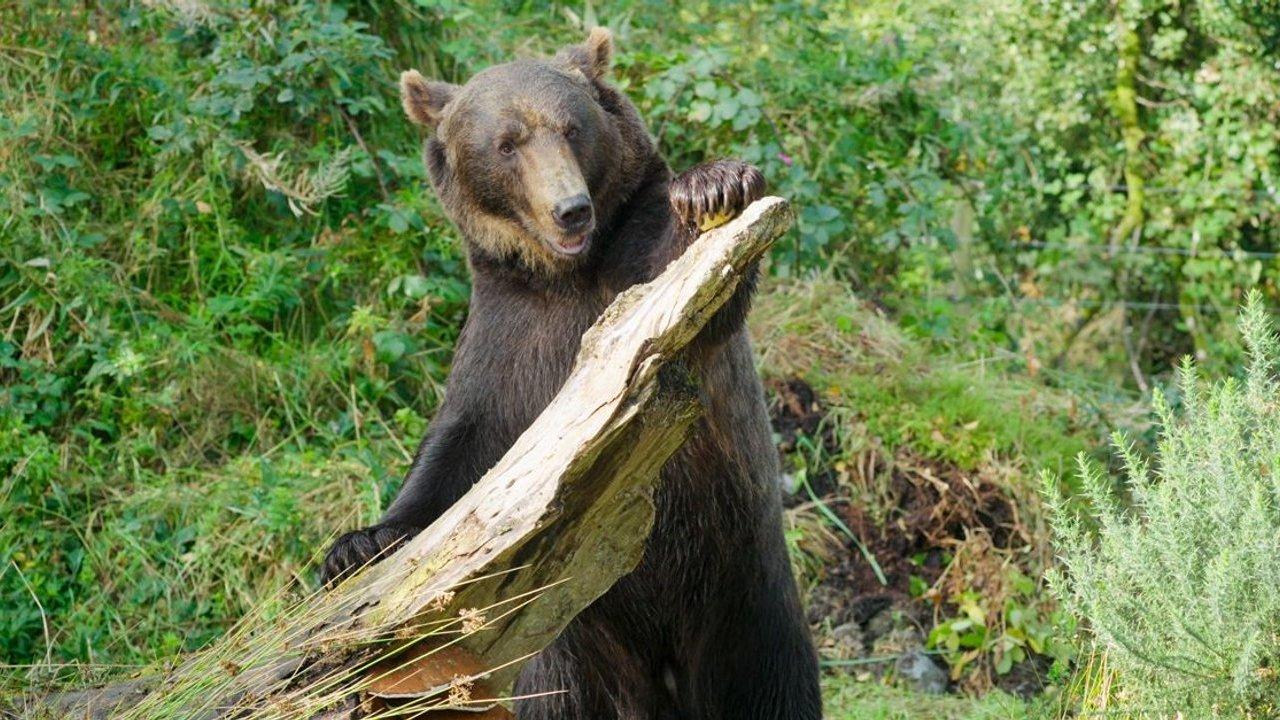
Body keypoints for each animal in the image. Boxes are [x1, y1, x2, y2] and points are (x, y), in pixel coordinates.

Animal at [320, 28, 822, 720]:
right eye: (506, 143)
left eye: (571, 127)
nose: (571, 210)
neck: (567, 276)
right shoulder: (510, 336)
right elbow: (459, 448)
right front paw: (358, 543)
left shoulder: (632, 276)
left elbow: (693, 291)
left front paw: (715, 185)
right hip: (577, 644)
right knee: (563, 695)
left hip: (743, 594)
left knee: (769, 686)